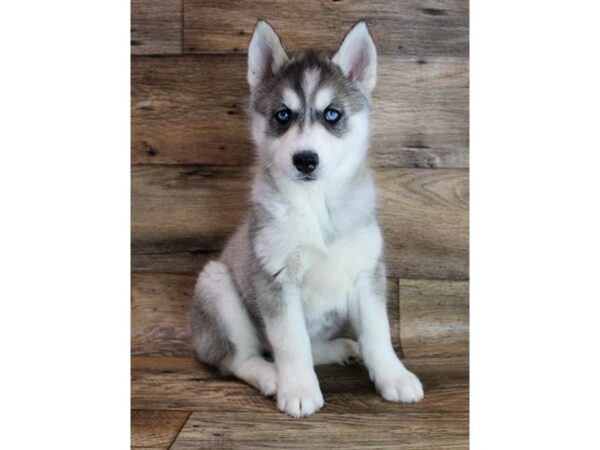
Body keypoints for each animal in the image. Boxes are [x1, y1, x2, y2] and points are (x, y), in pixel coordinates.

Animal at [191, 19, 422, 416]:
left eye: (332, 114)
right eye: (282, 115)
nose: (305, 160)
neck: (318, 206)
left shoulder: (367, 273)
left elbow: (378, 333)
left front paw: (393, 376)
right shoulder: (275, 279)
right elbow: (290, 343)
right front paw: (298, 389)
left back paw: (339, 349)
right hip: (216, 285)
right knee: (239, 358)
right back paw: (270, 376)